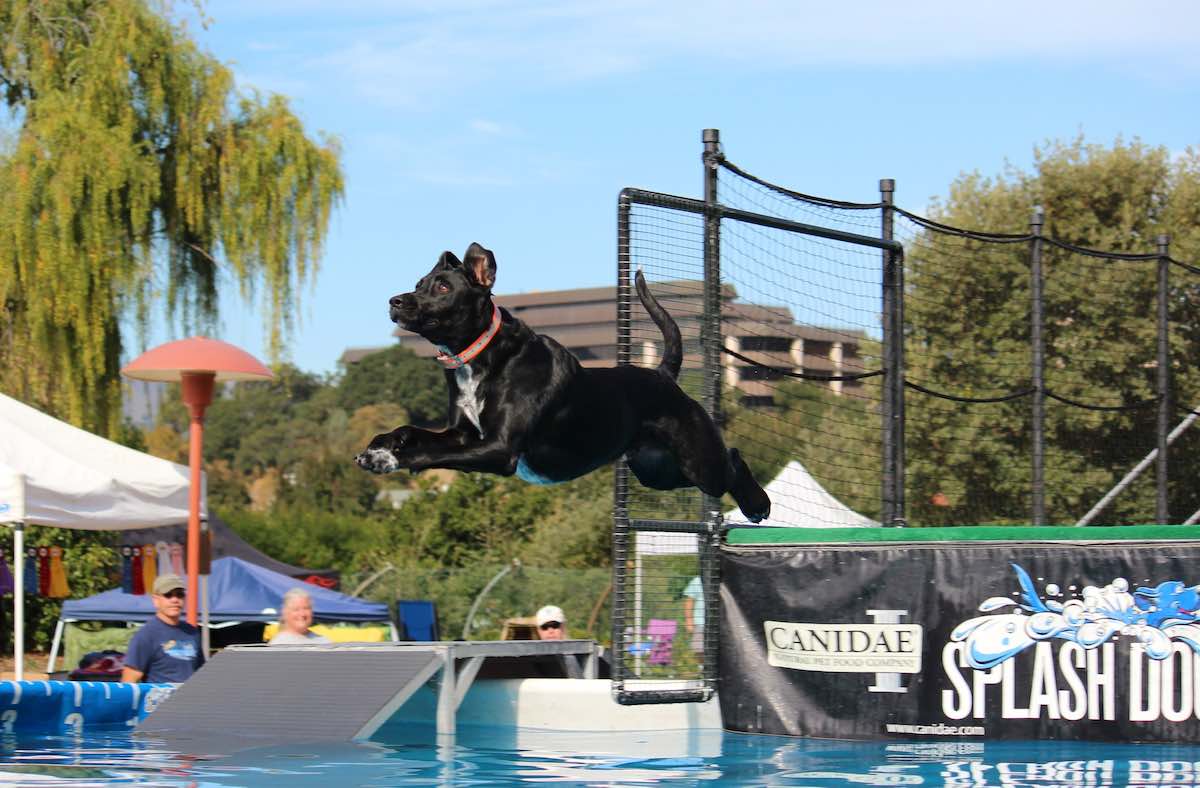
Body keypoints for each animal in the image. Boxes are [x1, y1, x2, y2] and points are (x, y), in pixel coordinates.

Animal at [350, 241, 772, 522]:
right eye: (419, 282)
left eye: (441, 287)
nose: (395, 301)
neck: (484, 354)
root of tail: (663, 374)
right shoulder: (463, 434)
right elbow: (413, 431)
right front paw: (381, 444)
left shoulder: (499, 449)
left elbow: (428, 454)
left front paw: (387, 458)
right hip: (659, 472)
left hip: (698, 462)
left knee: (733, 460)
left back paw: (758, 505)